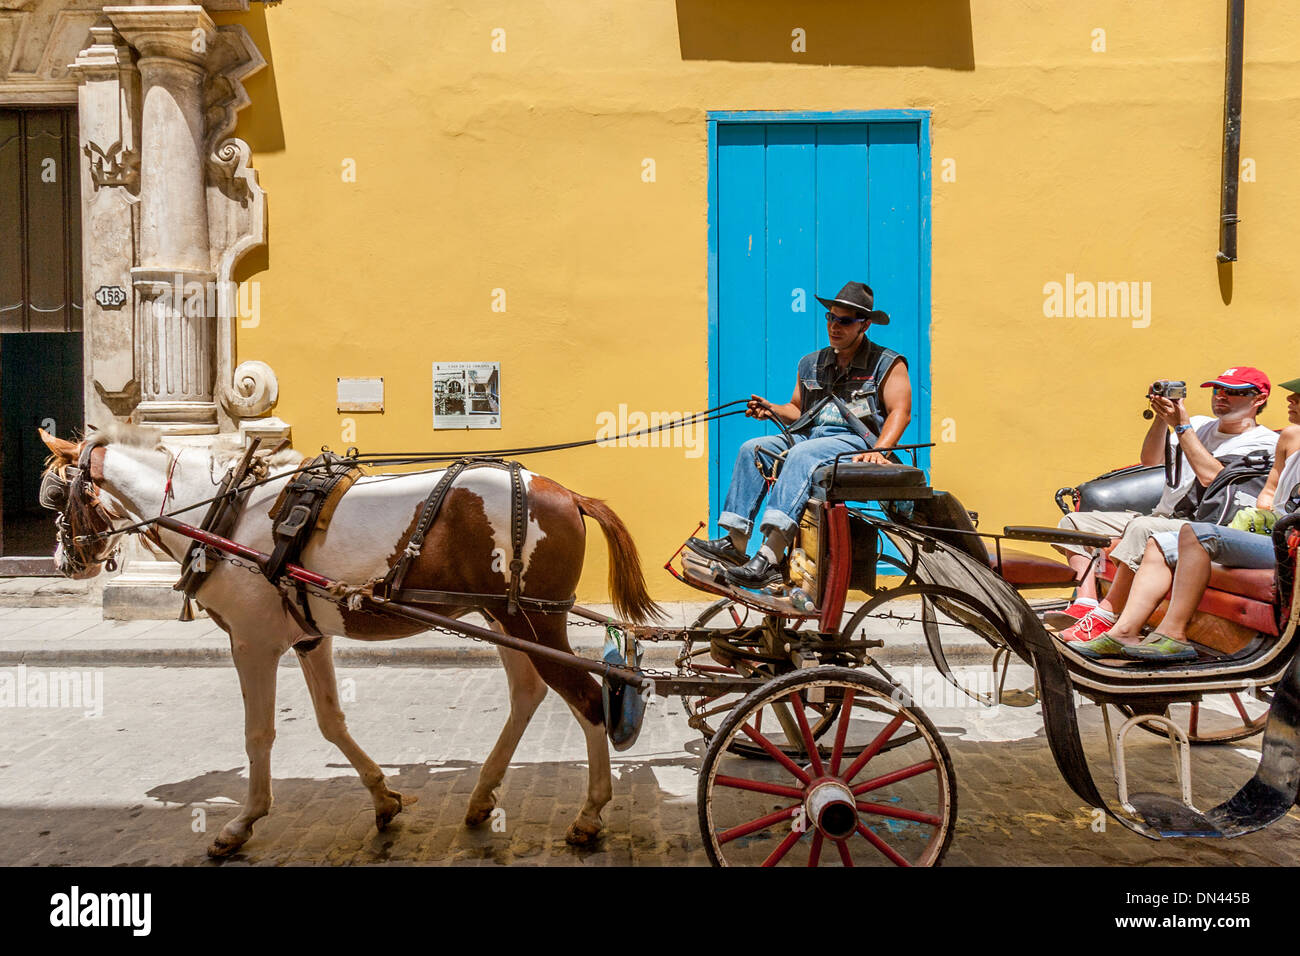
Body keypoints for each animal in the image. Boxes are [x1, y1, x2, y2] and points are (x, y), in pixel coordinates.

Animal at [40, 426, 660, 858]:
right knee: (529, 692)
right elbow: (331, 722)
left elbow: (258, 735)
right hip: (504, 618)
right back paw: (483, 796)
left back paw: (590, 814)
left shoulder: (252, 642)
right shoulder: (309, 638)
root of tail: (569, 494)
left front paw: (242, 823)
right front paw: (384, 798)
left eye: (51, 495)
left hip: (536, 621)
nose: (64, 561)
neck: (222, 512)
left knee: (587, 700)